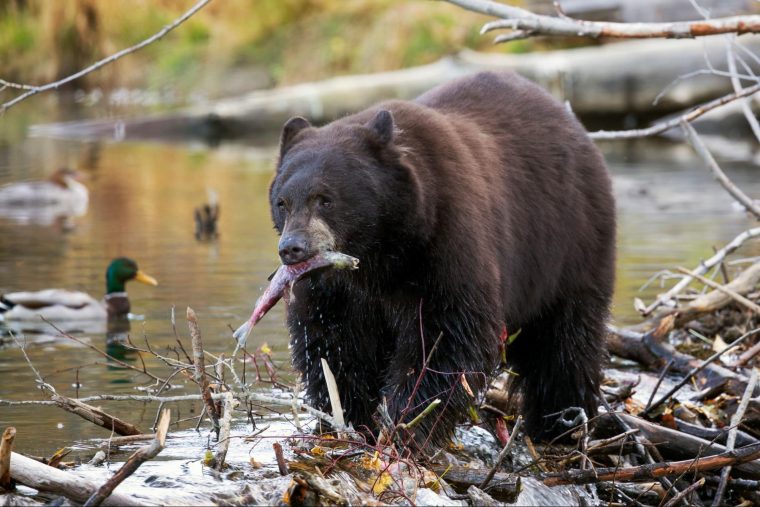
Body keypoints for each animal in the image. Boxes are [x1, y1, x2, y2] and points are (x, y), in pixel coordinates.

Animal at [268, 71, 616, 449]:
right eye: (282, 202)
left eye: (325, 198)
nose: (292, 248)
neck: (379, 254)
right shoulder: (336, 289)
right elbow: (333, 345)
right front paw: (350, 420)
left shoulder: (446, 245)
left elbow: (447, 336)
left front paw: (407, 424)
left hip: (569, 245)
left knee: (564, 342)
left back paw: (562, 423)